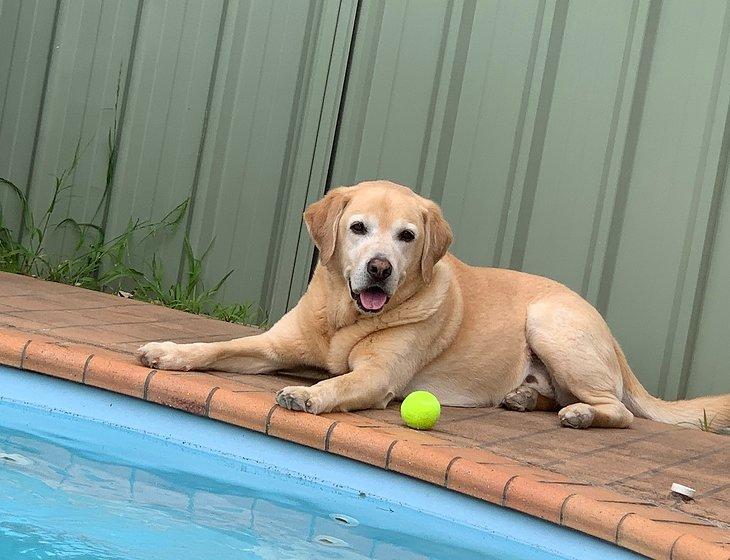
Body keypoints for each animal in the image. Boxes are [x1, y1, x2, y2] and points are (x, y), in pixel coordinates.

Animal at [138, 179, 728, 428]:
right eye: (358, 228)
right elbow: (217, 347)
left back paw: (581, 413)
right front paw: (168, 352)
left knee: (619, 410)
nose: (380, 268)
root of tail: (606, 328)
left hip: (551, 323)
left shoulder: (378, 377)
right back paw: (526, 397)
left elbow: (343, 384)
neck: (344, 317)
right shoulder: (270, 345)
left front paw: (309, 395)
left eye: (406, 236)